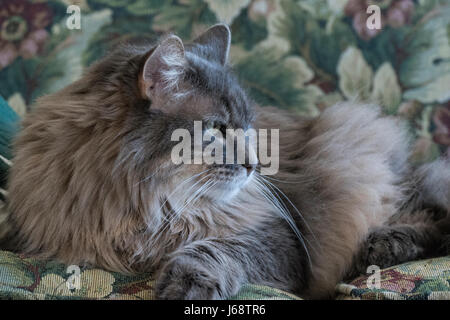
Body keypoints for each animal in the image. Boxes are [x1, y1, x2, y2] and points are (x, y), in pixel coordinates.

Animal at [1, 25, 448, 300]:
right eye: (218, 128)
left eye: (249, 126)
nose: (255, 165)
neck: (146, 203)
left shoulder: (277, 237)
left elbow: (214, 249)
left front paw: (186, 283)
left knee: (430, 214)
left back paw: (384, 245)